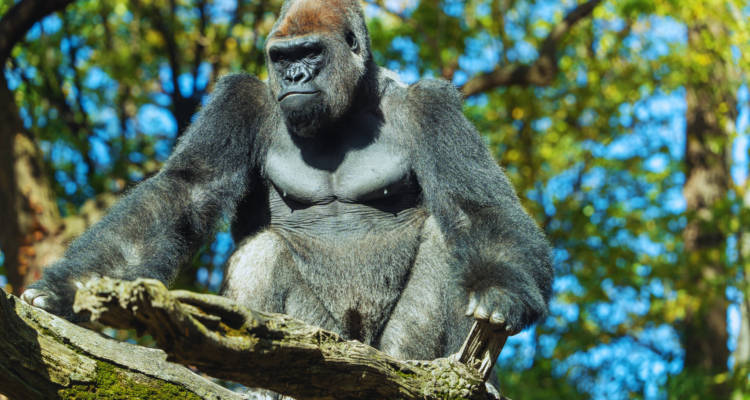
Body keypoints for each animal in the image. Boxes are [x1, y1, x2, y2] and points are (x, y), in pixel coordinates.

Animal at [21, 0, 553, 398]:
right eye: (280, 58)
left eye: (311, 52)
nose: (295, 77)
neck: (349, 105)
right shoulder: (238, 98)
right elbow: (185, 191)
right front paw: (64, 292)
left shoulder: (432, 104)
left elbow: (475, 206)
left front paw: (502, 294)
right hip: (324, 344)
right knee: (265, 254)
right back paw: (266, 385)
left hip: (378, 356)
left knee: (443, 251)